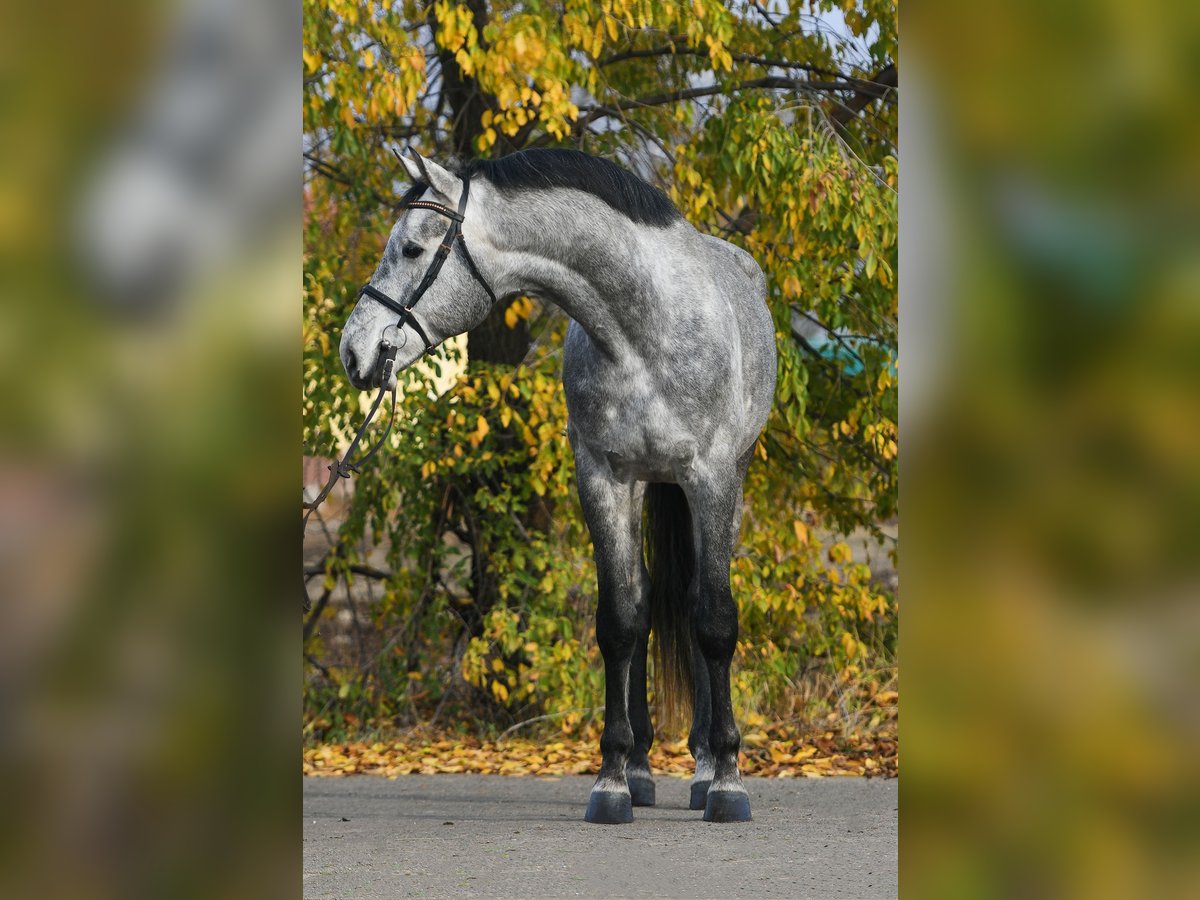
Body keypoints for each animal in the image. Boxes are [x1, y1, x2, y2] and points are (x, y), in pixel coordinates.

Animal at [339, 148, 777, 824]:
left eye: (412, 248)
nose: (353, 352)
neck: (643, 331)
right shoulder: (602, 478)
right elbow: (620, 622)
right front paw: (613, 781)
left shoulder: (710, 476)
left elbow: (714, 621)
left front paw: (729, 781)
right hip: (645, 486)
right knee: (645, 602)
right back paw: (645, 766)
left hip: (720, 483)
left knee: (700, 598)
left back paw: (707, 768)